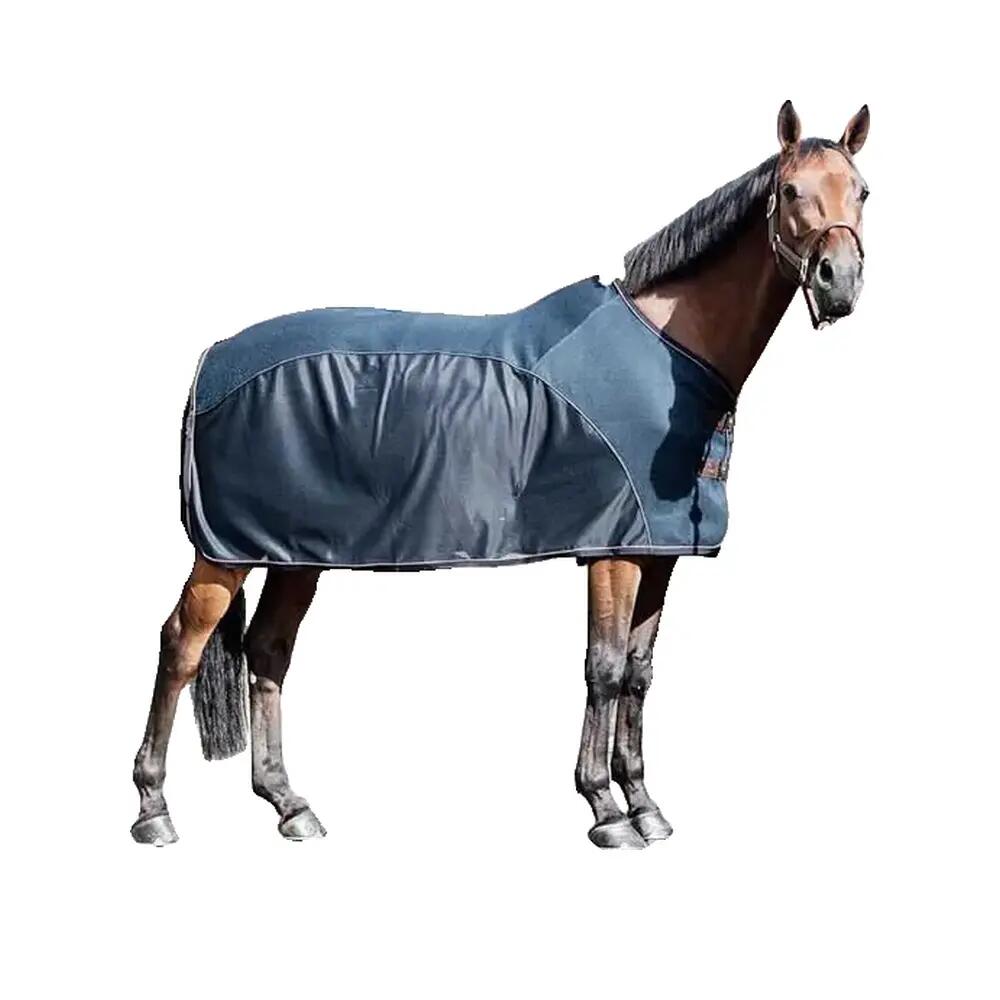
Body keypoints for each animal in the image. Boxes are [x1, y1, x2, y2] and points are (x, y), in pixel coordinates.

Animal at [132, 100, 870, 849]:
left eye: (862, 191)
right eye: (789, 190)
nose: (838, 282)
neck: (666, 350)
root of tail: (212, 360)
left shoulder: (657, 552)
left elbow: (638, 674)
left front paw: (645, 804)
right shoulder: (612, 552)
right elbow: (603, 669)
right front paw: (605, 810)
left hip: (293, 553)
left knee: (268, 650)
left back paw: (289, 804)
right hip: (224, 553)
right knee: (182, 644)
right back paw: (154, 809)